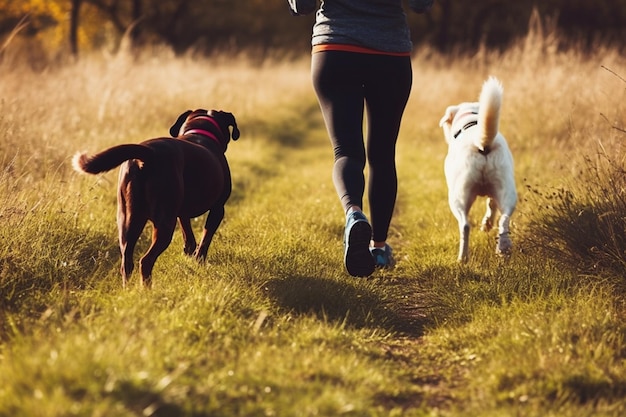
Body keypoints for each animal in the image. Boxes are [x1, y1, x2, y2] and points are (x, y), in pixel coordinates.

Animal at [72, 109, 240, 288]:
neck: (200, 131)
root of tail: (148, 153)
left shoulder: (181, 212)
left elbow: (188, 235)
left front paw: (189, 253)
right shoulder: (218, 209)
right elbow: (205, 239)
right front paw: (198, 260)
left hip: (128, 220)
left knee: (127, 262)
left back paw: (128, 290)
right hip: (163, 222)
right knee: (145, 261)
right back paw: (147, 290)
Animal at [436, 76, 516, 262]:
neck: (471, 121)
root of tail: (483, 144)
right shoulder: (494, 194)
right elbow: (491, 204)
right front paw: (487, 224)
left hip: (458, 198)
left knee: (465, 226)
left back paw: (463, 258)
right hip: (507, 191)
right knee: (504, 219)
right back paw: (503, 247)